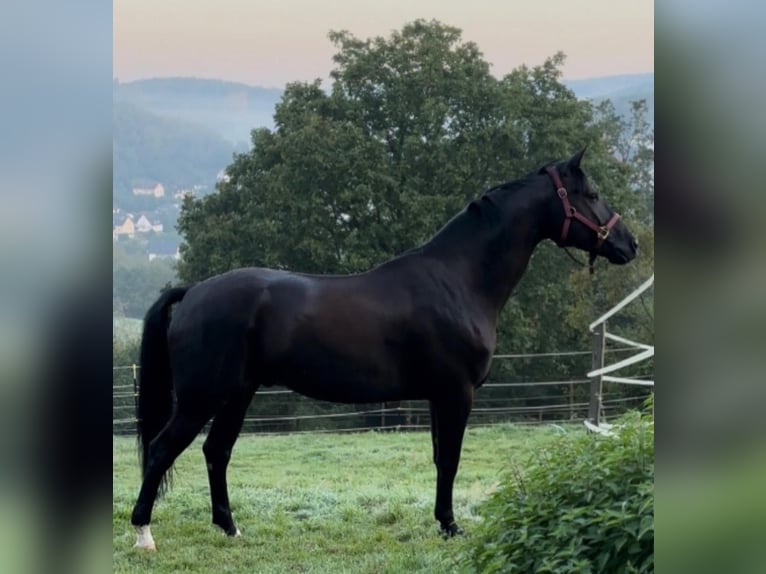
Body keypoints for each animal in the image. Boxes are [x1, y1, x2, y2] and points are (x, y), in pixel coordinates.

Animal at [130, 147, 636, 548]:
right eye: (591, 194)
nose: (628, 244)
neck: (459, 278)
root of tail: (193, 291)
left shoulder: (437, 396)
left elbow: (439, 458)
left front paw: (443, 522)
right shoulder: (456, 393)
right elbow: (450, 460)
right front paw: (451, 527)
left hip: (238, 394)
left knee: (216, 452)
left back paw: (231, 529)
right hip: (202, 397)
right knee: (161, 450)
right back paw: (144, 534)